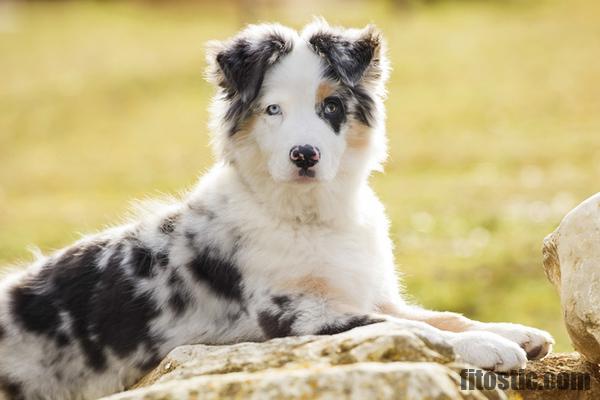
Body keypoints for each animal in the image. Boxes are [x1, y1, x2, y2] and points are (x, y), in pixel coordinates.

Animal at [0, 19, 552, 400]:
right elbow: (406, 328)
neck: (309, 215)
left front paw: (514, 332)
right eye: (273, 110)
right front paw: (491, 347)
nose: (304, 154)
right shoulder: (296, 316)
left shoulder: (366, 289)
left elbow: (441, 316)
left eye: (332, 106)